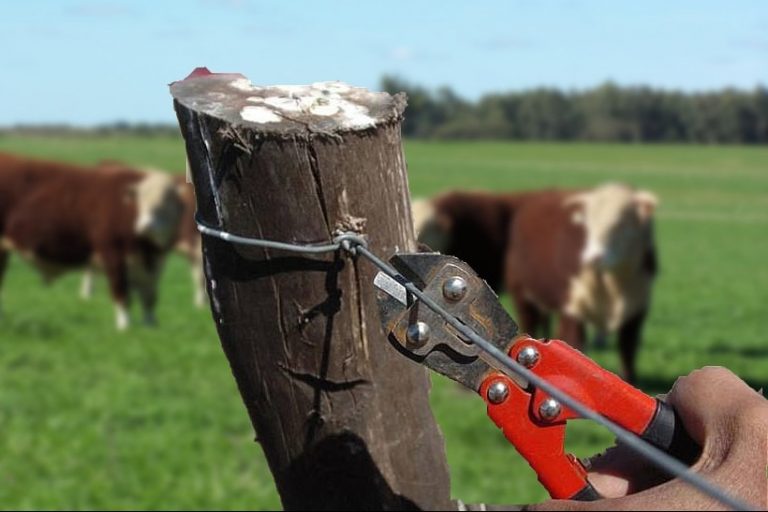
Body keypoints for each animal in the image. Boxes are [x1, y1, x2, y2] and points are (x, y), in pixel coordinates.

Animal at [0, 153, 185, 330]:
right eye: (140, 200)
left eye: (165, 203)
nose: (144, 226)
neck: (147, 249)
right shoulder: (114, 255)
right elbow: (122, 293)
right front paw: (125, 326)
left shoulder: (154, 265)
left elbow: (149, 297)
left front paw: (150, 325)